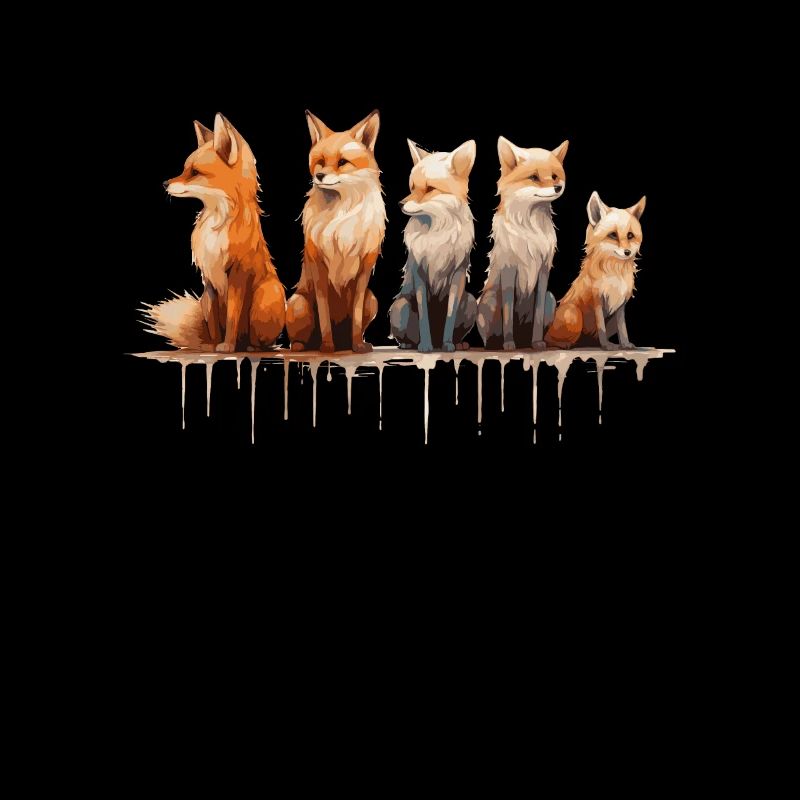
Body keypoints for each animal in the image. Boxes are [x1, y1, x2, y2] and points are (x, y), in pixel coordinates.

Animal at [143, 114, 285, 352]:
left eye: (195, 172)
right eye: (184, 169)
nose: (164, 183)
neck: (216, 224)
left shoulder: (237, 275)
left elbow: (232, 316)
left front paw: (227, 346)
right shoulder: (208, 282)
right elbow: (214, 323)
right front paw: (213, 346)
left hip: (267, 296)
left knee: (262, 342)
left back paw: (250, 348)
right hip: (203, 299)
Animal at [286, 110, 385, 353]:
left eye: (342, 162)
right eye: (320, 162)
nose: (319, 176)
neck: (341, 215)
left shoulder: (365, 267)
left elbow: (356, 317)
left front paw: (357, 344)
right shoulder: (318, 264)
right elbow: (323, 315)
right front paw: (327, 346)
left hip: (372, 300)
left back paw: (351, 343)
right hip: (298, 304)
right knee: (301, 338)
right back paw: (303, 346)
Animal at [389, 139, 478, 352]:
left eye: (430, 188)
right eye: (412, 187)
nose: (400, 204)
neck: (437, 233)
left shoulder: (458, 274)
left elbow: (450, 315)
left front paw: (448, 344)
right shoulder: (419, 273)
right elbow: (424, 318)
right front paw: (425, 346)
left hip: (471, 302)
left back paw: (457, 343)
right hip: (400, 307)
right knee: (408, 335)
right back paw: (409, 345)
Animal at [476, 136, 568, 350]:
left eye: (554, 176)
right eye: (534, 177)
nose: (558, 188)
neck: (530, 231)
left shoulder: (543, 271)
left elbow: (538, 314)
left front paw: (537, 342)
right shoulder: (509, 269)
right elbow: (508, 314)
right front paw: (509, 343)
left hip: (551, 299)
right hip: (489, 302)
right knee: (492, 334)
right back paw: (497, 344)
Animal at [545, 191, 646, 350]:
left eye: (630, 235)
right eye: (613, 235)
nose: (627, 252)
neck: (614, 271)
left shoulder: (620, 304)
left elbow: (623, 328)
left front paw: (624, 344)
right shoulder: (597, 299)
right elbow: (601, 327)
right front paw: (606, 346)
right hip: (573, 313)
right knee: (549, 339)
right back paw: (564, 344)